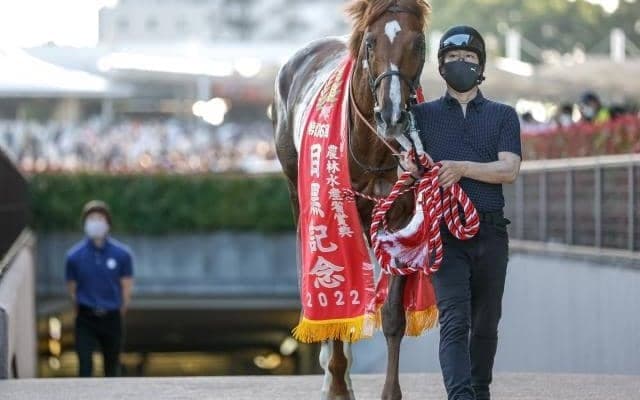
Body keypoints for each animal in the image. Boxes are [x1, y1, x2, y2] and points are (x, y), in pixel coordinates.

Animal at [272, 1, 432, 399]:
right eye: (371, 43)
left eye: (419, 43)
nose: (392, 115)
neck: (374, 148)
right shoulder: (335, 208)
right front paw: (337, 383)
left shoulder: (399, 216)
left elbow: (393, 314)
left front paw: (390, 391)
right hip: (295, 188)